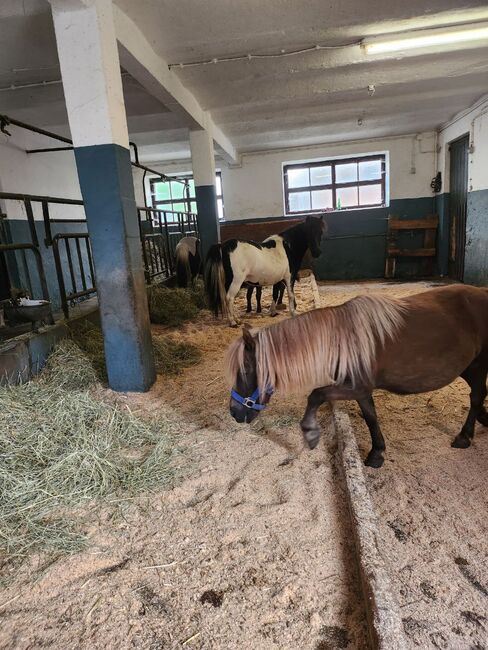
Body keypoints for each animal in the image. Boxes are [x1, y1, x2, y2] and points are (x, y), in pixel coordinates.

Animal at [227, 284, 488, 466]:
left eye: (245, 370)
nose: (234, 412)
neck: (341, 341)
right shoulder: (361, 390)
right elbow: (371, 417)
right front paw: (377, 452)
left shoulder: (355, 387)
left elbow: (316, 395)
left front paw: (310, 433)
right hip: (468, 367)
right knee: (480, 394)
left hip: (478, 365)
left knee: (476, 396)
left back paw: (464, 436)